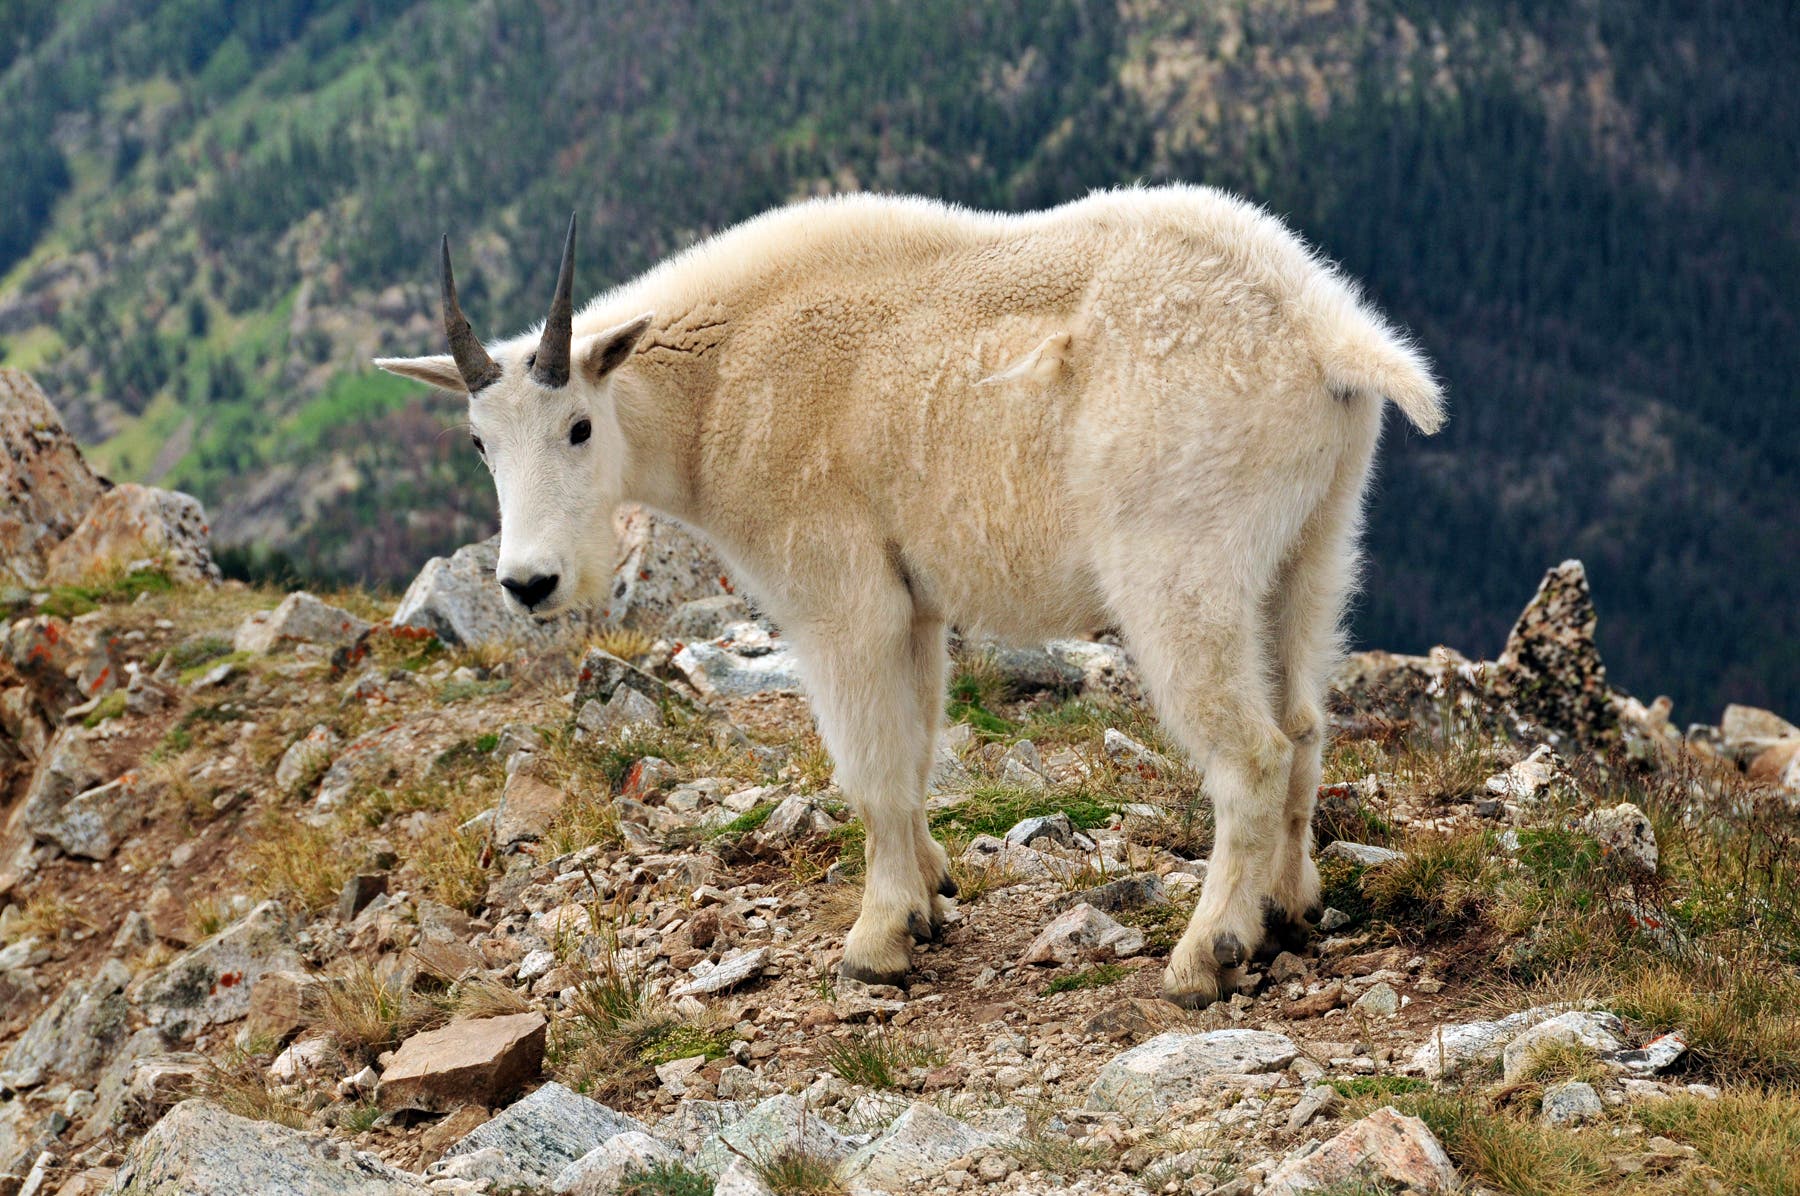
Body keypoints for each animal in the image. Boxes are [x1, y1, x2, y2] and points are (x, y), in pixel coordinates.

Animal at [375, 186, 1444, 1006]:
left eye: (580, 427)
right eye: (480, 441)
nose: (529, 583)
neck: (722, 386)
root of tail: (1321, 332)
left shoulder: (838, 596)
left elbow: (872, 768)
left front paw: (879, 938)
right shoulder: (919, 600)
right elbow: (920, 744)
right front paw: (933, 892)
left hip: (1182, 562)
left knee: (1252, 752)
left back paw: (1207, 953)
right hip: (1312, 546)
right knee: (1304, 725)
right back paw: (1289, 911)